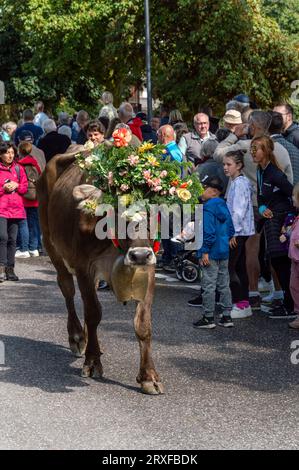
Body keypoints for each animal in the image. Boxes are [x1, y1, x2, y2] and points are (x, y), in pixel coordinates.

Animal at [37, 150, 165, 392]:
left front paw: (149, 376)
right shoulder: (83, 267)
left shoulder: (149, 268)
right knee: (68, 291)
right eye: (119, 211)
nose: (140, 255)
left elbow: (143, 323)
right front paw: (92, 362)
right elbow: (94, 313)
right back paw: (78, 338)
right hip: (51, 245)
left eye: (155, 211)